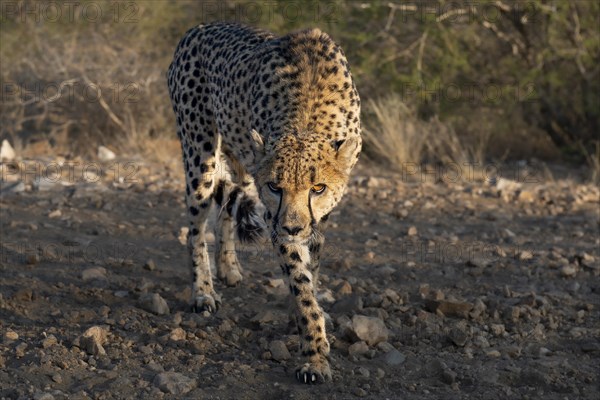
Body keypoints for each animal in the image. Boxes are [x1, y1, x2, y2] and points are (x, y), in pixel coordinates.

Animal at [165, 22, 360, 384]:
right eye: (274, 186)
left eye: (318, 188)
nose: (292, 228)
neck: (308, 114)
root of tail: (199, 27)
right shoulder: (274, 218)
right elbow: (299, 283)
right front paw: (314, 354)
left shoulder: (317, 219)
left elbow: (312, 268)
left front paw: (312, 310)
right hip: (200, 152)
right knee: (196, 228)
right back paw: (204, 292)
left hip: (241, 158)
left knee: (226, 210)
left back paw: (229, 268)